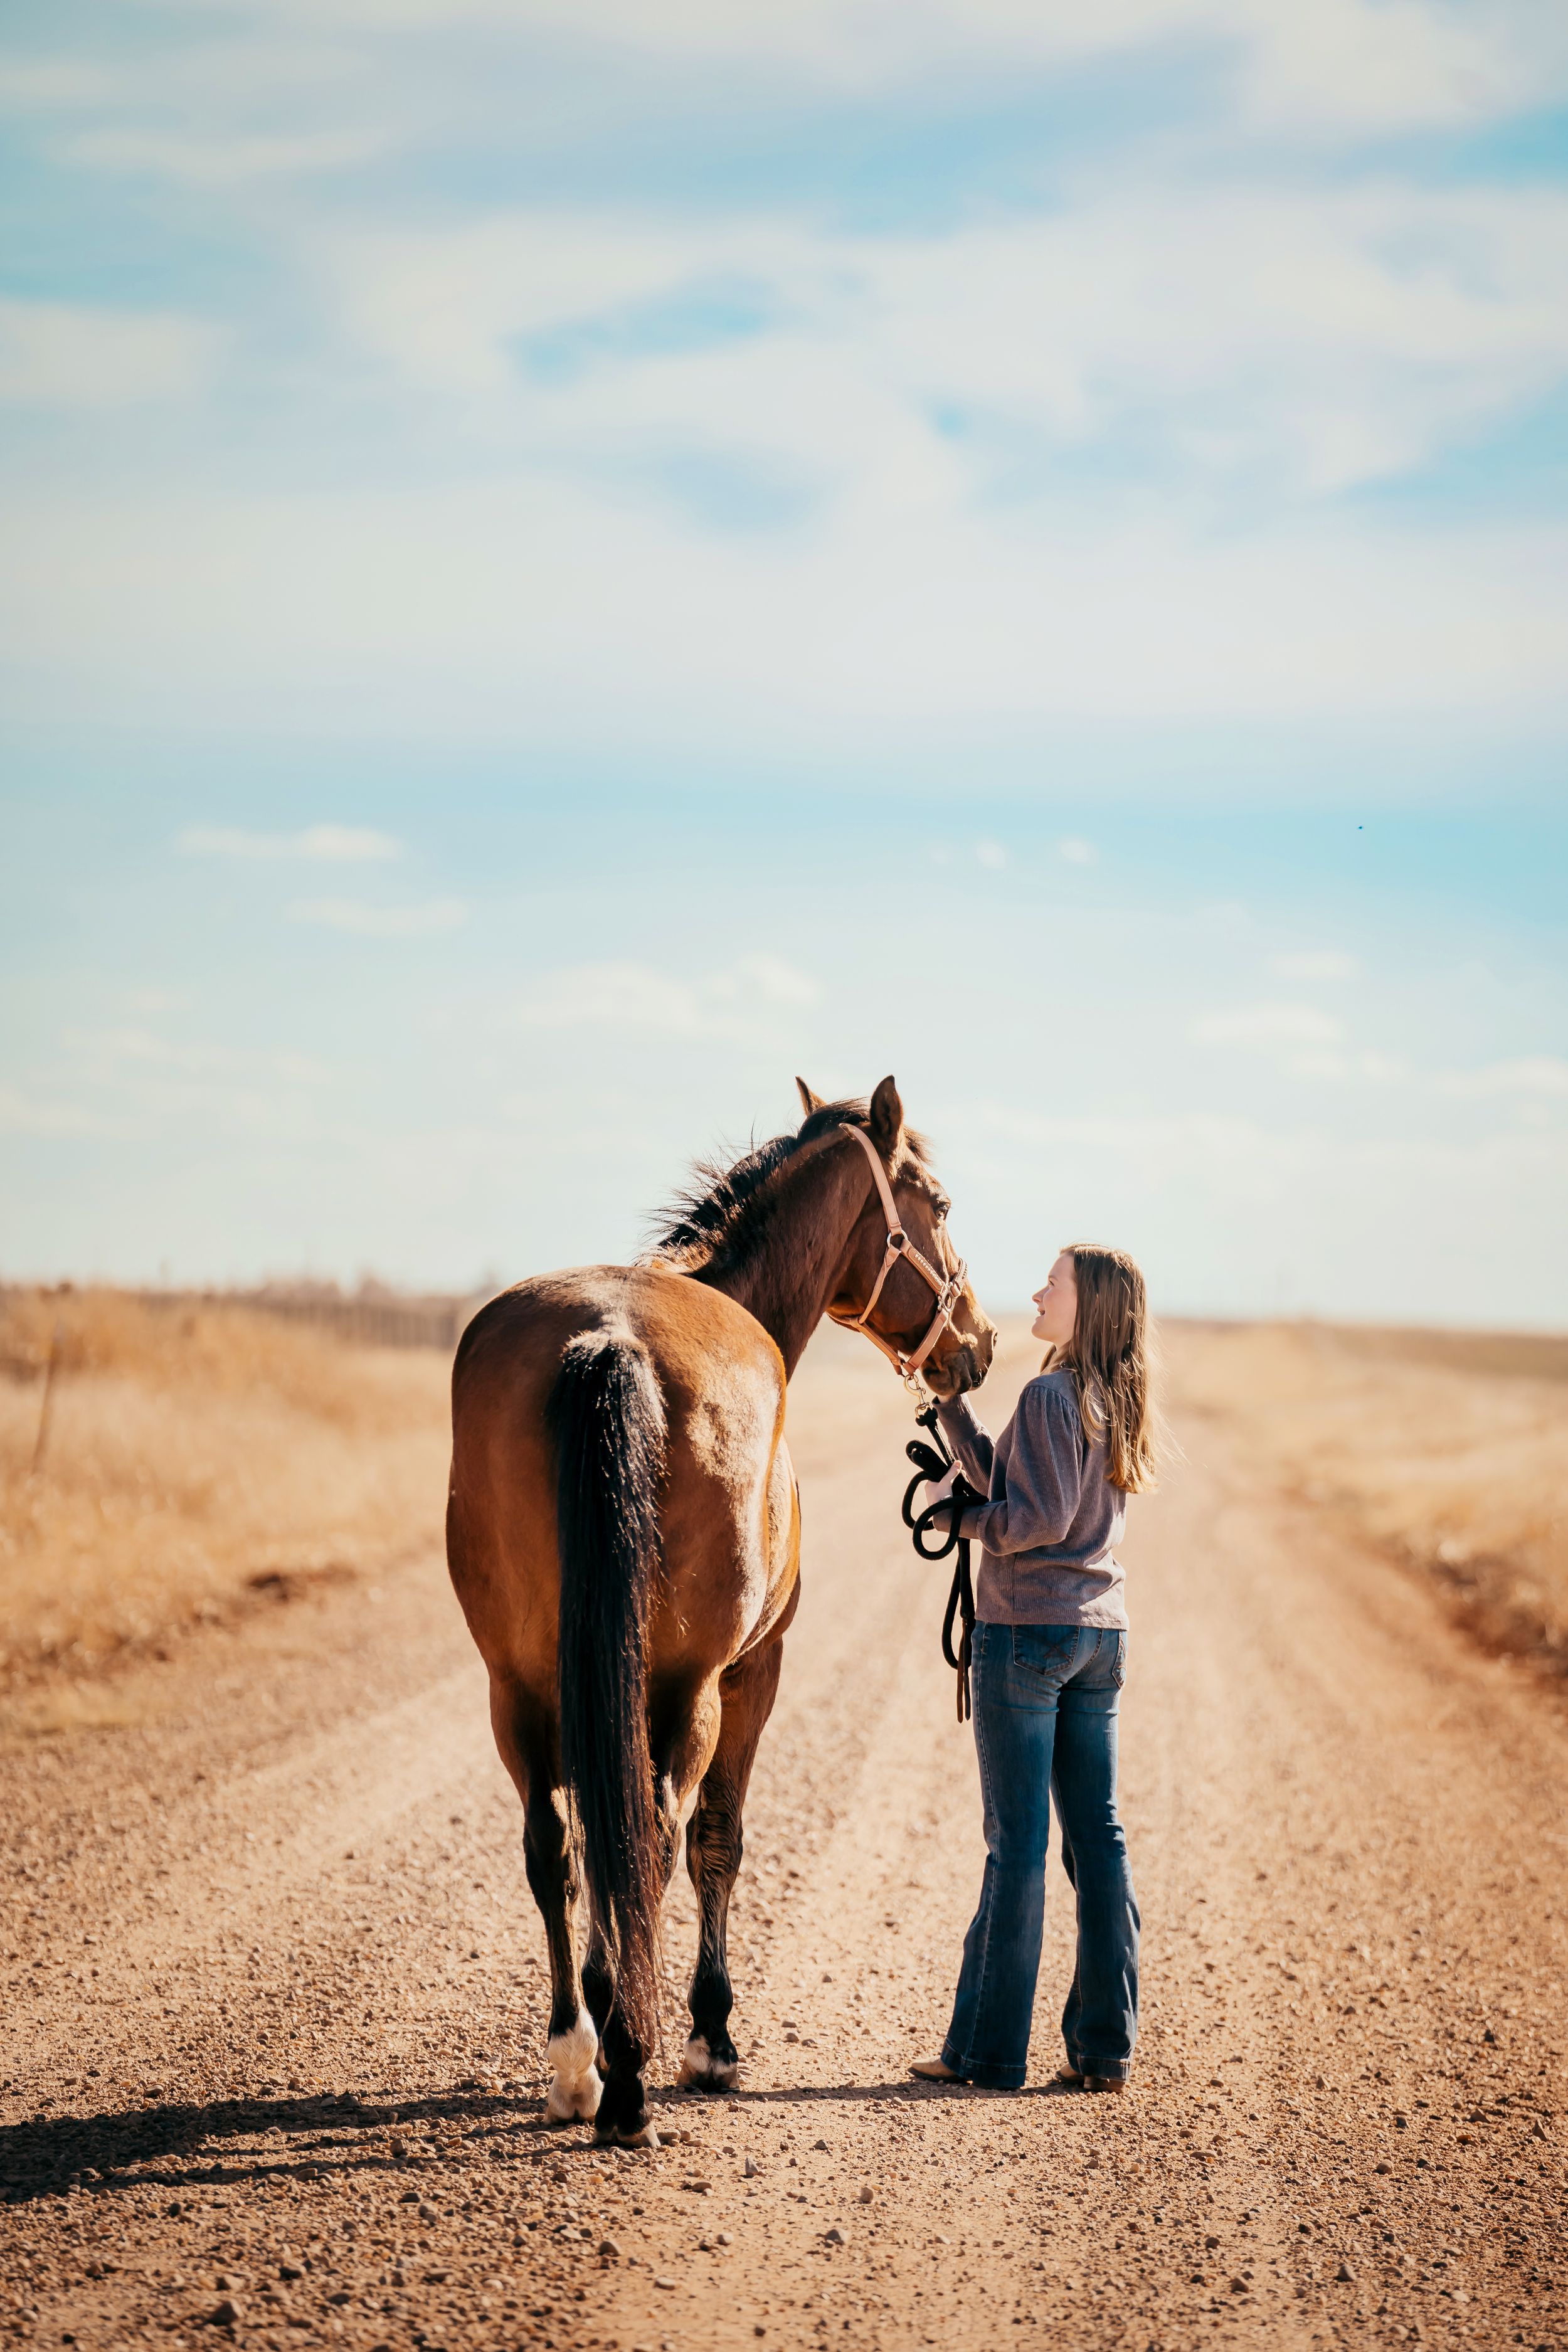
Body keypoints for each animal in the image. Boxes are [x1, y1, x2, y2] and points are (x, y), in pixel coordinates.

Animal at [445, 1075, 996, 2146]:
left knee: (554, 1845)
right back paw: (628, 2075)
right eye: (942, 1205)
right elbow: (719, 1841)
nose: (981, 1344)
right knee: (661, 1837)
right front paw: (709, 2038)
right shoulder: (754, 1671)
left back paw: (576, 2058)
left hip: (513, 1683)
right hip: (689, 1686)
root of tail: (610, 1338)